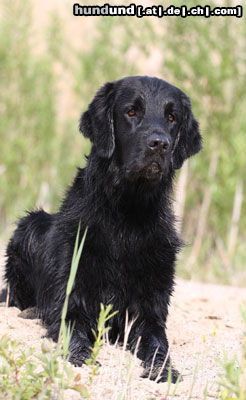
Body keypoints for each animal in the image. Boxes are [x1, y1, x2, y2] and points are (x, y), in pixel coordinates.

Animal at [3, 76, 202, 382]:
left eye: (172, 117)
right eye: (131, 111)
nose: (160, 144)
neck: (127, 214)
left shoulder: (148, 312)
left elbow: (159, 343)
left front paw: (164, 370)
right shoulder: (71, 300)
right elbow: (73, 331)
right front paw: (81, 357)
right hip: (31, 224)